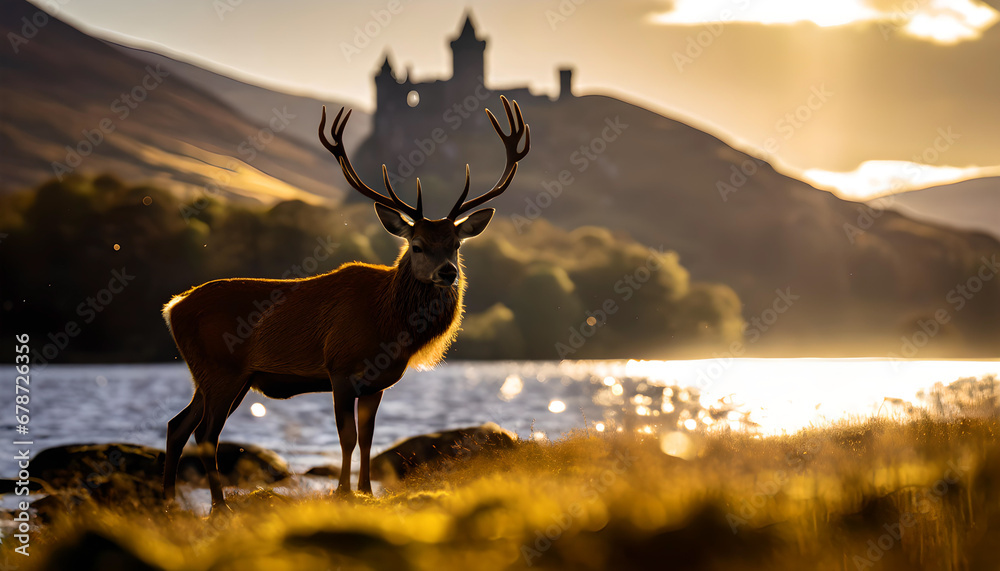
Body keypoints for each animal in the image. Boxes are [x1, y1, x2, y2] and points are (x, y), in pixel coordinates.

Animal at [161, 95, 529, 511]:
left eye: (455, 244)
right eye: (417, 245)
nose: (448, 272)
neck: (388, 327)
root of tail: (172, 308)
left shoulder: (377, 382)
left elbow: (369, 437)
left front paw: (366, 491)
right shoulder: (338, 367)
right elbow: (347, 437)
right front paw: (342, 491)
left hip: (217, 376)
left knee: (178, 425)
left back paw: (170, 502)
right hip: (221, 370)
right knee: (207, 433)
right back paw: (219, 507)